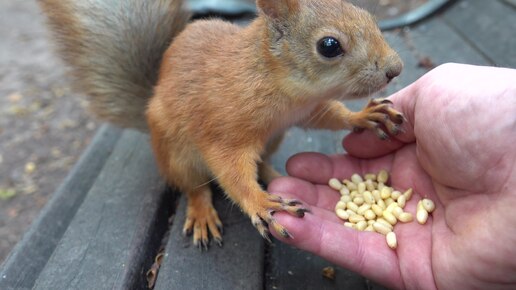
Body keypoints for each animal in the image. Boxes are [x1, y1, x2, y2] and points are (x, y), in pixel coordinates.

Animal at [40, 0, 404, 249]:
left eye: (369, 18)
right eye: (329, 46)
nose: (396, 68)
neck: (284, 88)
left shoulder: (305, 111)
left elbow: (330, 117)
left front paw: (363, 116)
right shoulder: (224, 127)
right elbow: (230, 170)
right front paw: (260, 202)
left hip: (272, 139)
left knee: (261, 160)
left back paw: (270, 173)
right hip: (178, 156)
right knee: (194, 186)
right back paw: (203, 211)